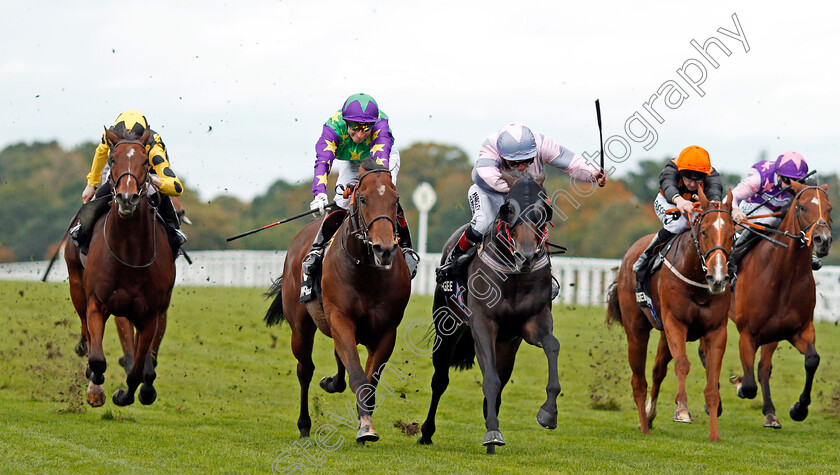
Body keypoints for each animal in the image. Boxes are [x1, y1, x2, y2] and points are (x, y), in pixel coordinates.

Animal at [64, 130, 174, 410]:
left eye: (146, 162)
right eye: (113, 160)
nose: (126, 197)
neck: (129, 255)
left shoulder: (149, 315)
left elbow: (136, 371)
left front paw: (127, 394)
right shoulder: (96, 303)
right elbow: (97, 359)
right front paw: (95, 389)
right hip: (77, 285)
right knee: (86, 331)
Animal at [260, 159, 408, 442]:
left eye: (395, 201)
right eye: (362, 199)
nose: (384, 249)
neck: (367, 271)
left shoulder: (387, 330)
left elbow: (369, 381)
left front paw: (366, 422)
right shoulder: (340, 318)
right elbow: (357, 374)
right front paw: (365, 427)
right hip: (301, 327)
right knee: (305, 370)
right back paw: (304, 423)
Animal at [418, 171, 560, 454]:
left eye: (544, 211)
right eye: (508, 210)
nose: (526, 256)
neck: (514, 277)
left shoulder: (533, 324)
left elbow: (552, 345)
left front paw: (548, 412)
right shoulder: (483, 326)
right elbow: (489, 380)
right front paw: (493, 433)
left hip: (506, 345)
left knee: (498, 385)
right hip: (447, 328)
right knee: (440, 380)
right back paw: (427, 432)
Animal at [604, 189, 736, 442]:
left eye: (732, 234)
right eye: (704, 231)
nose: (718, 278)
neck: (697, 280)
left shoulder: (716, 330)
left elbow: (712, 380)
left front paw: (714, 435)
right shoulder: (676, 322)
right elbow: (682, 364)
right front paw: (682, 410)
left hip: (664, 334)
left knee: (657, 371)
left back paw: (649, 416)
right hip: (636, 329)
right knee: (639, 381)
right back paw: (644, 426)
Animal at [728, 180, 832, 430]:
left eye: (830, 208)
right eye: (802, 207)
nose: (823, 241)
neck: (783, 274)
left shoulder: (798, 329)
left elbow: (812, 360)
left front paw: (799, 409)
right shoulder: (747, 333)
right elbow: (748, 386)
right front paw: (738, 383)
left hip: (772, 334)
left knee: (764, 369)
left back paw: (770, 413)